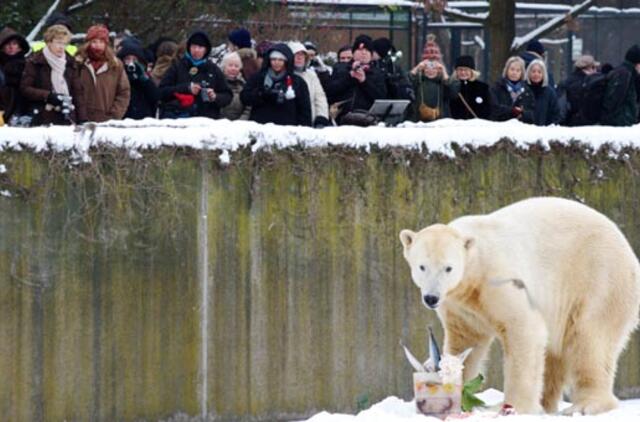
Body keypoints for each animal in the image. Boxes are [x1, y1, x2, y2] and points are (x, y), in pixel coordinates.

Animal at [400, 198, 640, 416]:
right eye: (422, 266)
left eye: (448, 268)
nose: (431, 297)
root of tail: (629, 252)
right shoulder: (459, 306)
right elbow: (465, 341)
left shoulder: (497, 278)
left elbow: (523, 329)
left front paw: (513, 407)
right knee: (554, 353)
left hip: (599, 278)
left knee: (590, 339)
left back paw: (585, 405)